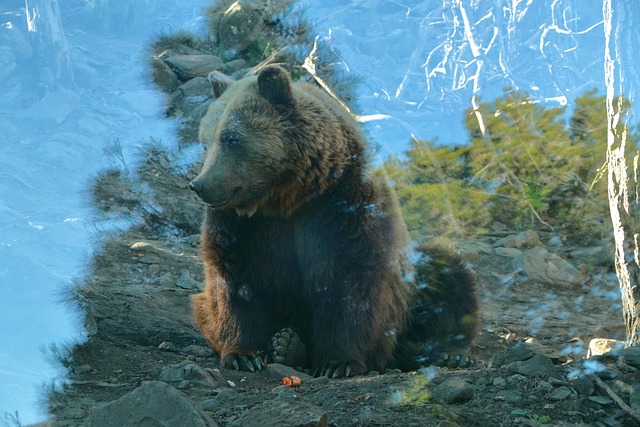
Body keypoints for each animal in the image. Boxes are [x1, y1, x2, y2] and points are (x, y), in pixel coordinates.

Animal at [189, 65, 479, 377]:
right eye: (205, 142)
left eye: (232, 138)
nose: (200, 184)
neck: (287, 195)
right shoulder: (241, 225)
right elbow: (236, 279)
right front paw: (245, 354)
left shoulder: (341, 204)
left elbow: (349, 279)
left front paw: (337, 362)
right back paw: (287, 344)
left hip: (408, 289)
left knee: (447, 277)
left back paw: (452, 352)